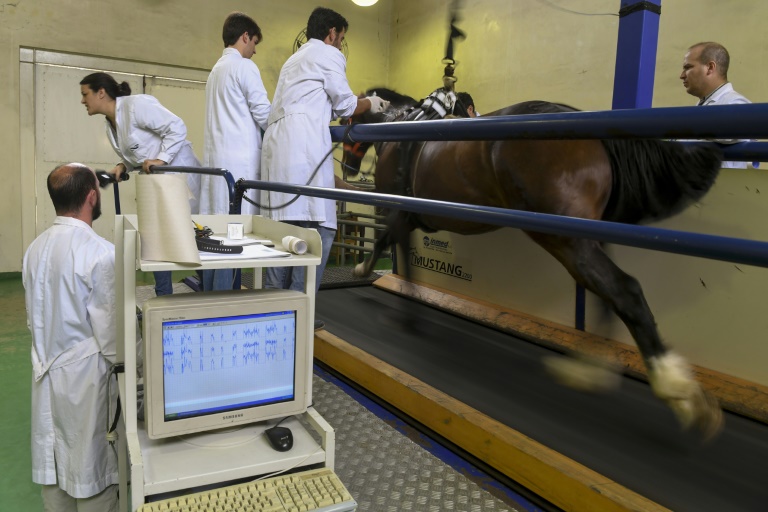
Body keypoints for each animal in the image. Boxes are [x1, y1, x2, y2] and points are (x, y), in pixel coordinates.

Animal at [342, 87, 728, 436]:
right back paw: (591, 371)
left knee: (625, 289)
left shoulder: (400, 212)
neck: (400, 127)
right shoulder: (408, 217)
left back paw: (674, 388)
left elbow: (392, 249)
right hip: (587, 237)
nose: (348, 167)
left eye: (346, 119)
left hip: (564, 238)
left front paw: (376, 284)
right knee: (607, 294)